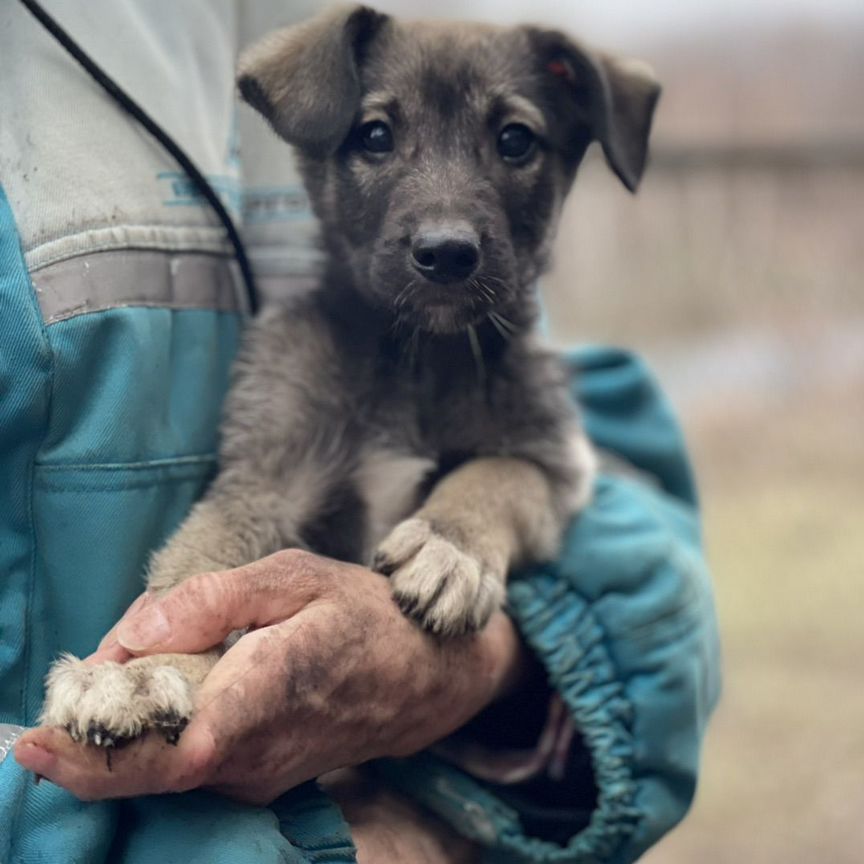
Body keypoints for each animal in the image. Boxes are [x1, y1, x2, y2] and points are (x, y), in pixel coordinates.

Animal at [40, 3, 660, 748]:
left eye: (515, 140)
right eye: (375, 135)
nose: (447, 253)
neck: (418, 358)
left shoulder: (557, 460)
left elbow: (500, 474)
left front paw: (449, 546)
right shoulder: (265, 478)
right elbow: (195, 570)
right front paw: (137, 669)